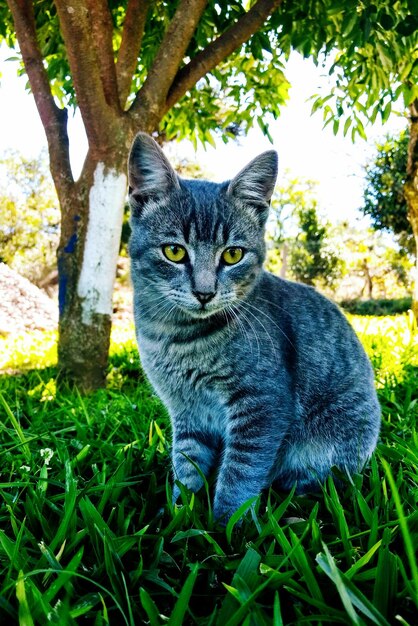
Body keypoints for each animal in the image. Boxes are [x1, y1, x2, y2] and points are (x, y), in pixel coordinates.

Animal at [128, 132, 382, 520]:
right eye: (174, 251)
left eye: (233, 254)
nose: (205, 292)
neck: (174, 336)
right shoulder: (187, 412)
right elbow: (186, 465)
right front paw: (178, 515)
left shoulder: (263, 404)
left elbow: (240, 474)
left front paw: (224, 528)